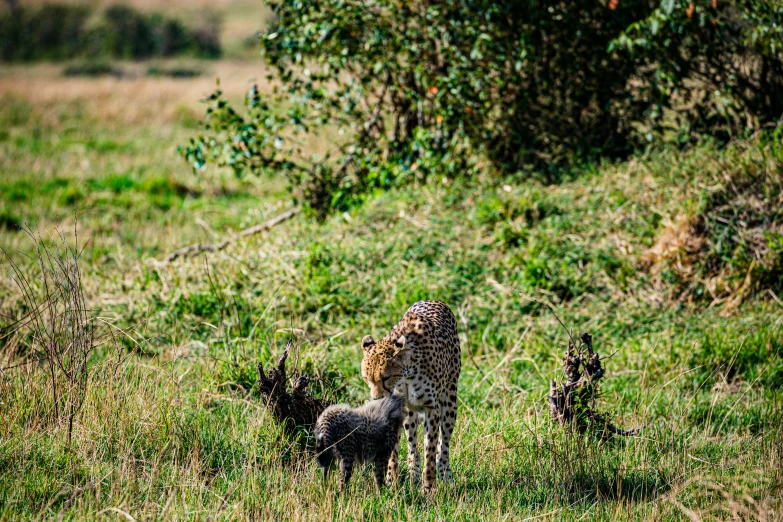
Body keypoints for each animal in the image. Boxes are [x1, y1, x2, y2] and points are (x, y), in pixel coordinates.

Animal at [362, 298, 466, 490]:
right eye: (366, 378)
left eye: (386, 377)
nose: (376, 399)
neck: (407, 372)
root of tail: (434, 299)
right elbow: (396, 450)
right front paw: (392, 482)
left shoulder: (432, 408)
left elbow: (430, 450)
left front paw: (429, 487)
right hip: (410, 414)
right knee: (412, 446)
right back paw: (413, 475)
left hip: (450, 402)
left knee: (444, 444)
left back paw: (445, 475)